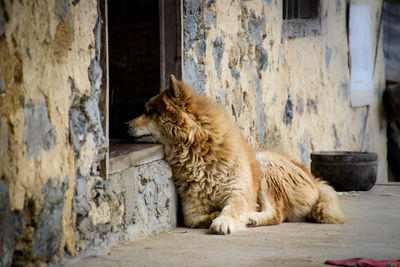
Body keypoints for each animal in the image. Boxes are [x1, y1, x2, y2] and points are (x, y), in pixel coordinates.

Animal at [126, 75, 346, 234]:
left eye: (151, 112)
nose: (124, 125)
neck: (199, 153)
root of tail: (314, 180)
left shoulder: (238, 193)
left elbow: (231, 208)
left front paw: (223, 221)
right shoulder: (192, 208)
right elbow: (192, 219)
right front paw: (212, 216)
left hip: (266, 164)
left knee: (276, 213)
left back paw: (252, 218)